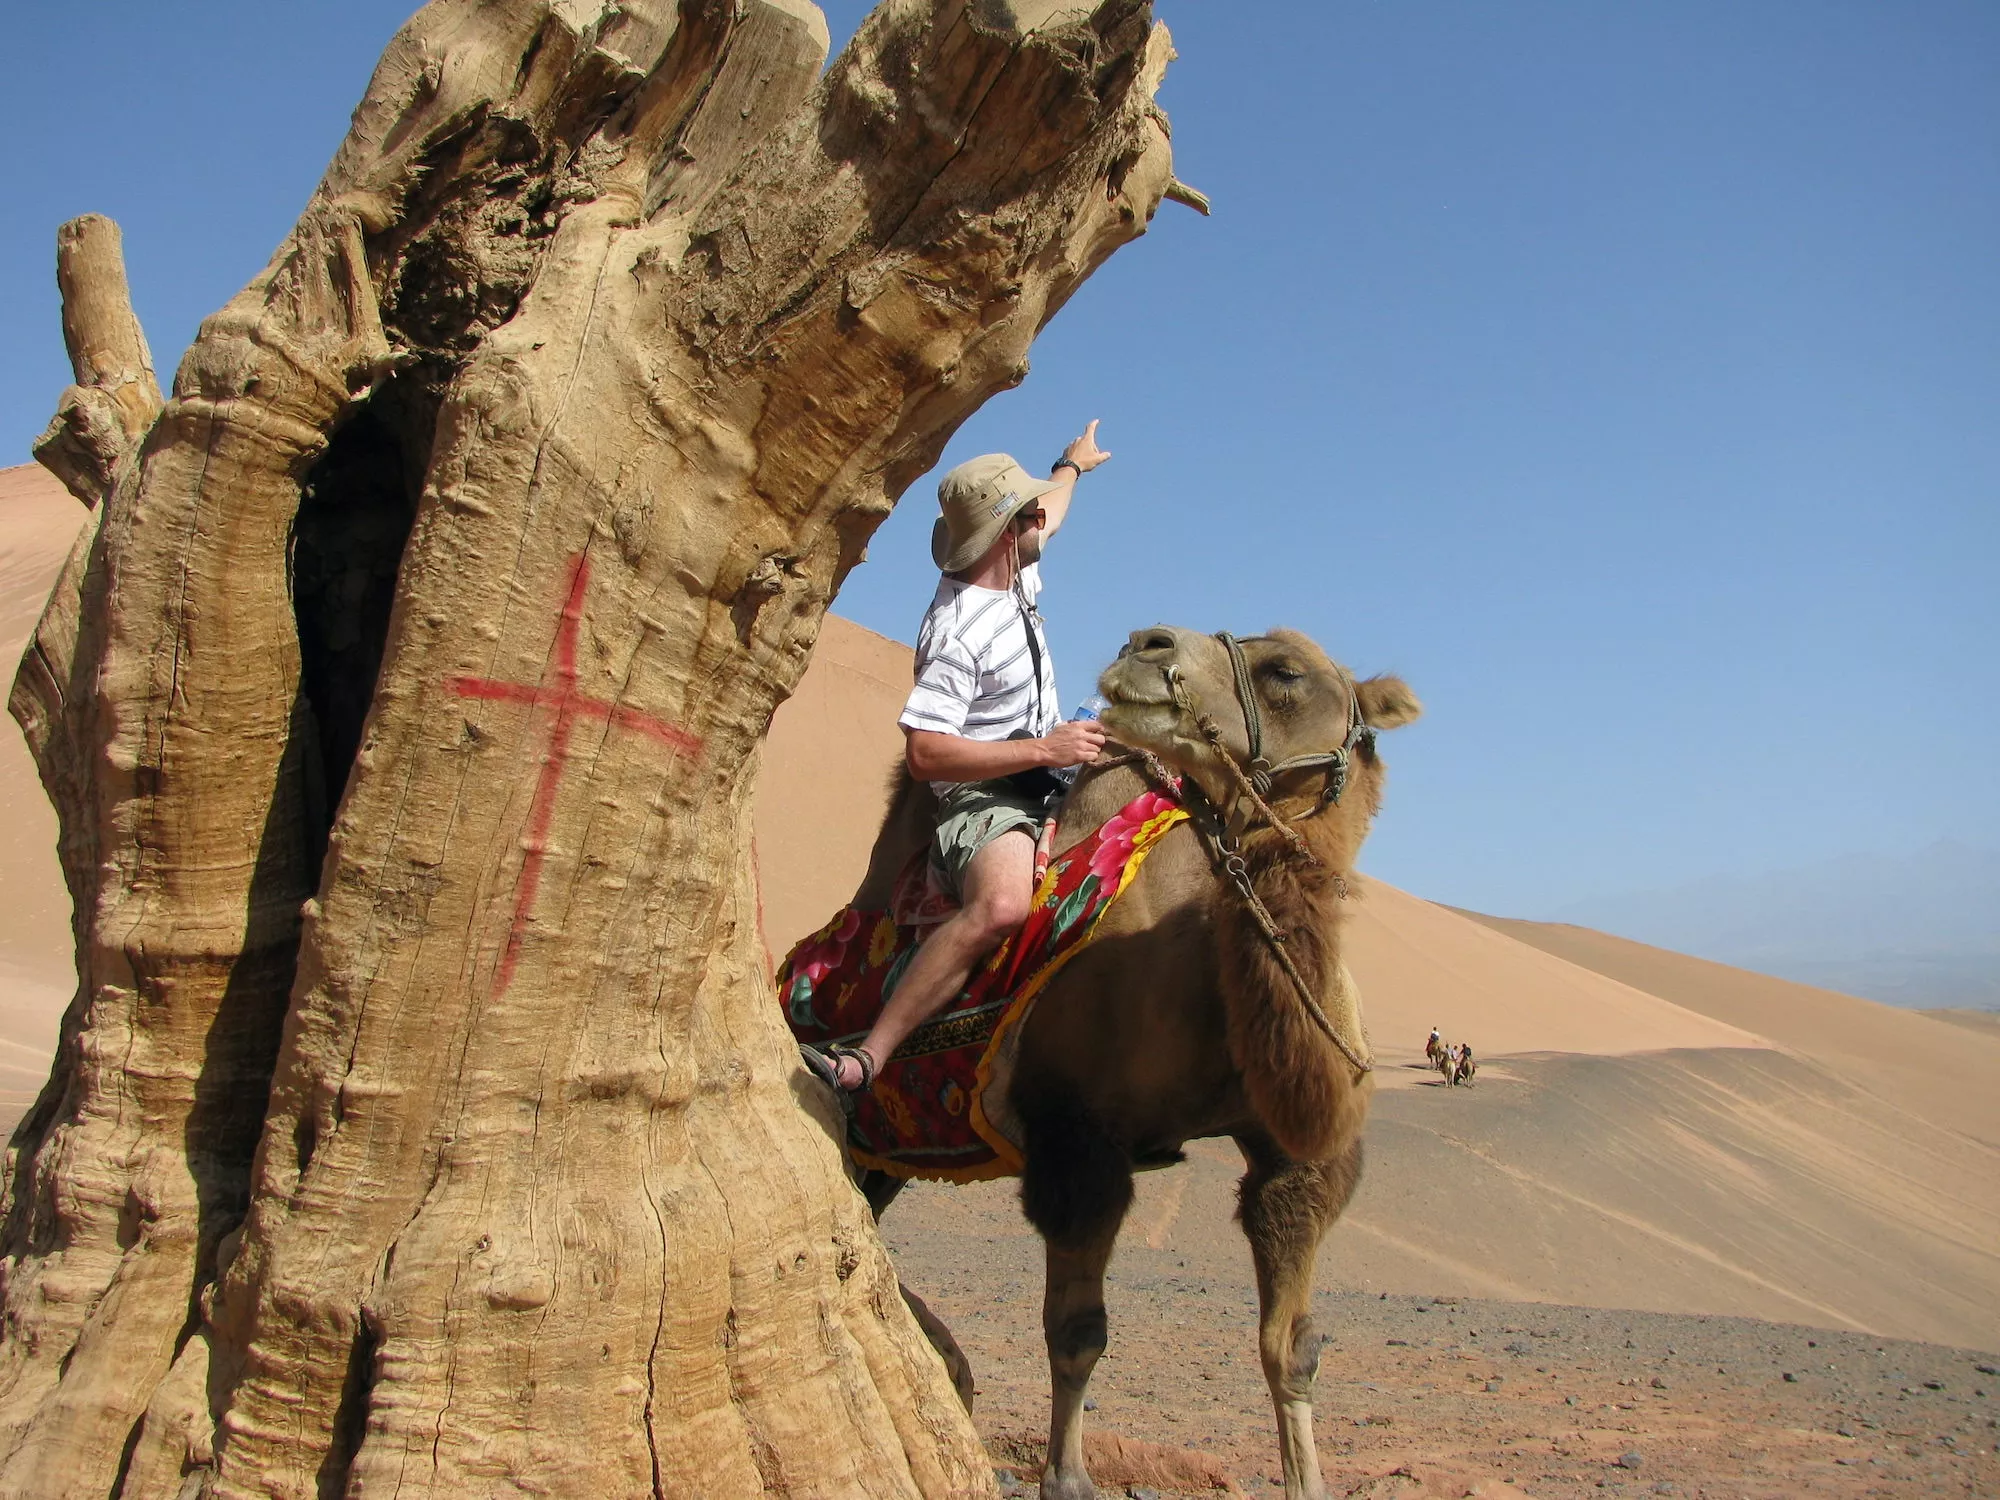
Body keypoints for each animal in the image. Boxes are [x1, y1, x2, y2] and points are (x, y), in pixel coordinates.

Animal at [836, 624, 1416, 1500]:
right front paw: (1067, 1477)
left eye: (1285, 671)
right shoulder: (1079, 1141)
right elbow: (1078, 1333)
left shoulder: (1296, 1159)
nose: (1148, 642)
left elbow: (1292, 1347)